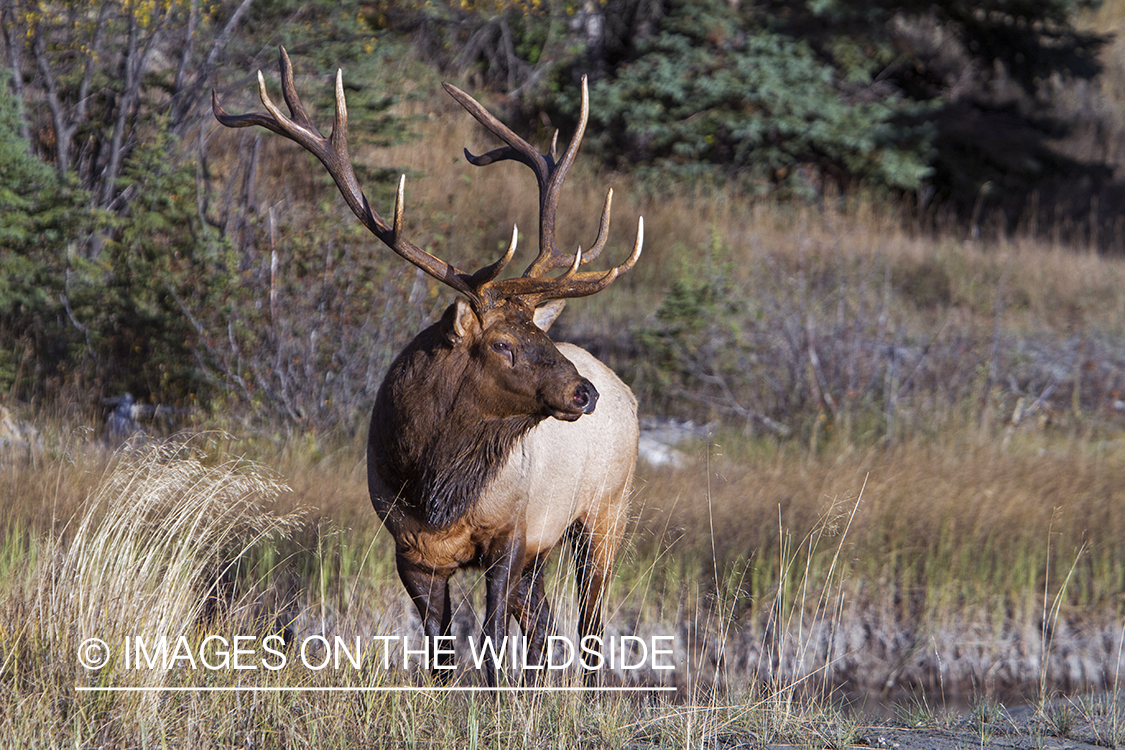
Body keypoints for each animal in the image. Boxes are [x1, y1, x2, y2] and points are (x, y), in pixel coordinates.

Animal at [214, 48, 643, 688]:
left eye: (540, 332)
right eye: (503, 345)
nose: (582, 393)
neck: (433, 488)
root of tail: (629, 391)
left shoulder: (511, 533)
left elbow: (490, 644)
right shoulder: (411, 551)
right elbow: (441, 654)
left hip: (605, 508)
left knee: (590, 621)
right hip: (551, 545)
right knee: (546, 626)